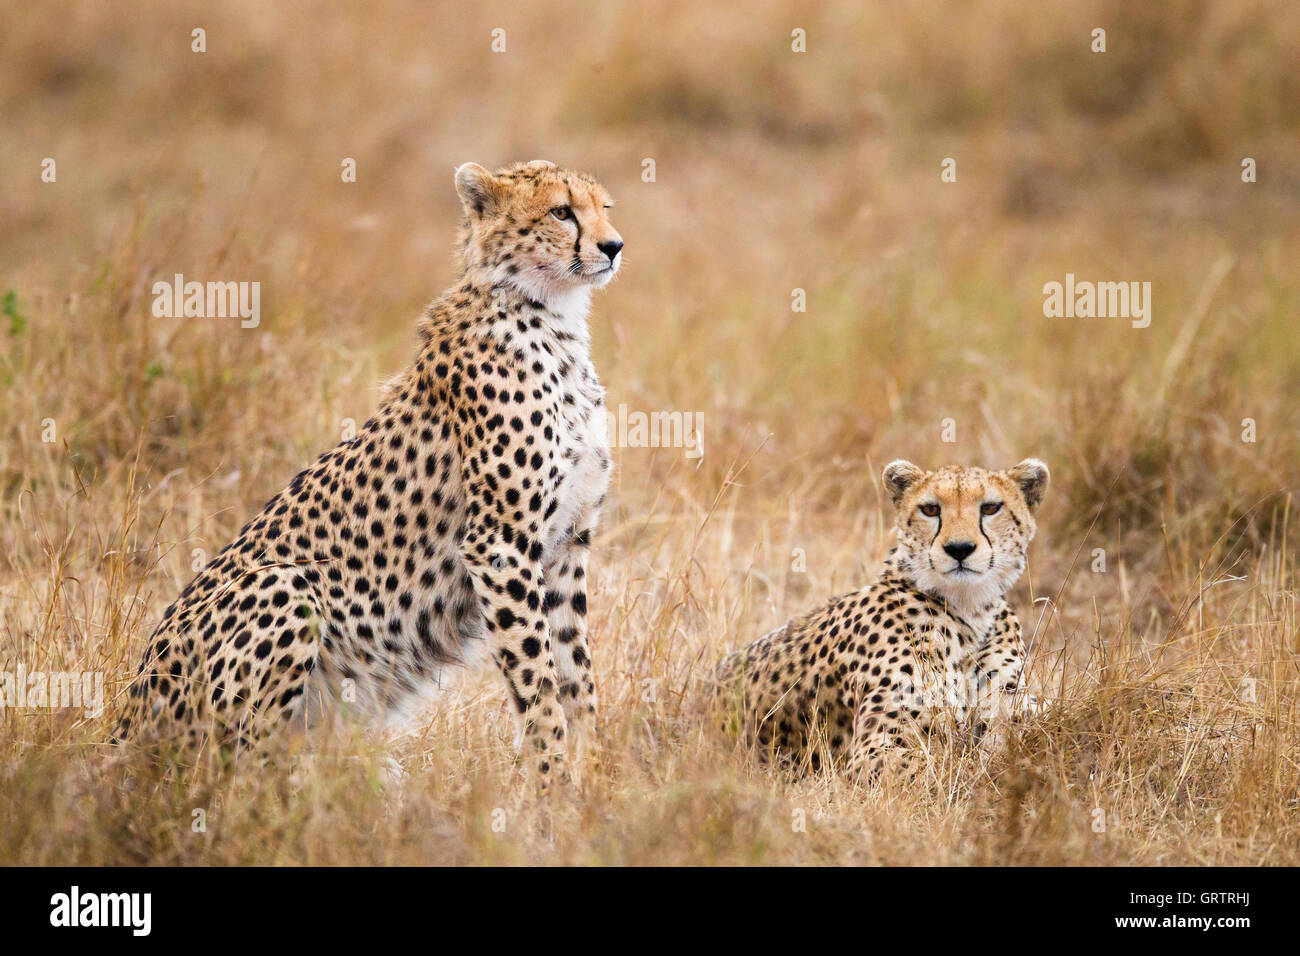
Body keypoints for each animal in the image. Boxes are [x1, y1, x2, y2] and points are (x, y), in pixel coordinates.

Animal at [109, 158, 621, 780]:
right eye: (561, 211)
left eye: (604, 209)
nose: (614, 246)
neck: (552, 317)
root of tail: (128, 708)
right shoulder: (499, 544)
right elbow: (538, 680)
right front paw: (550, 782)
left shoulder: (567, 541)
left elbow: (576, 673)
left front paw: (590, 779)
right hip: (284, 586)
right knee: (233, 766)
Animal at [717, 460, 1050, 780]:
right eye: (930, 509)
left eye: (990, 508)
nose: (959, 549)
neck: (970, 611)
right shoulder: (871, 753)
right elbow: (951, 766)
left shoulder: (1010, 701)